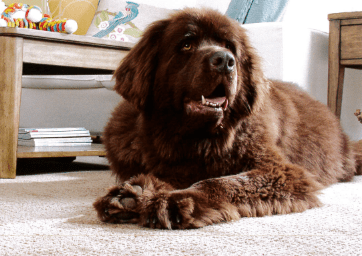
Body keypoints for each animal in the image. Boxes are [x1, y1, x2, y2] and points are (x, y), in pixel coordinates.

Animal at [94, 8, 362, 229]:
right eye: (187, 44)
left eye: (230, 46)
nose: (224, 60)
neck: (197, 138)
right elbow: (168, 175)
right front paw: (135, 193)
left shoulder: (280, 171)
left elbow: (221, 182)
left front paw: (179, 199)